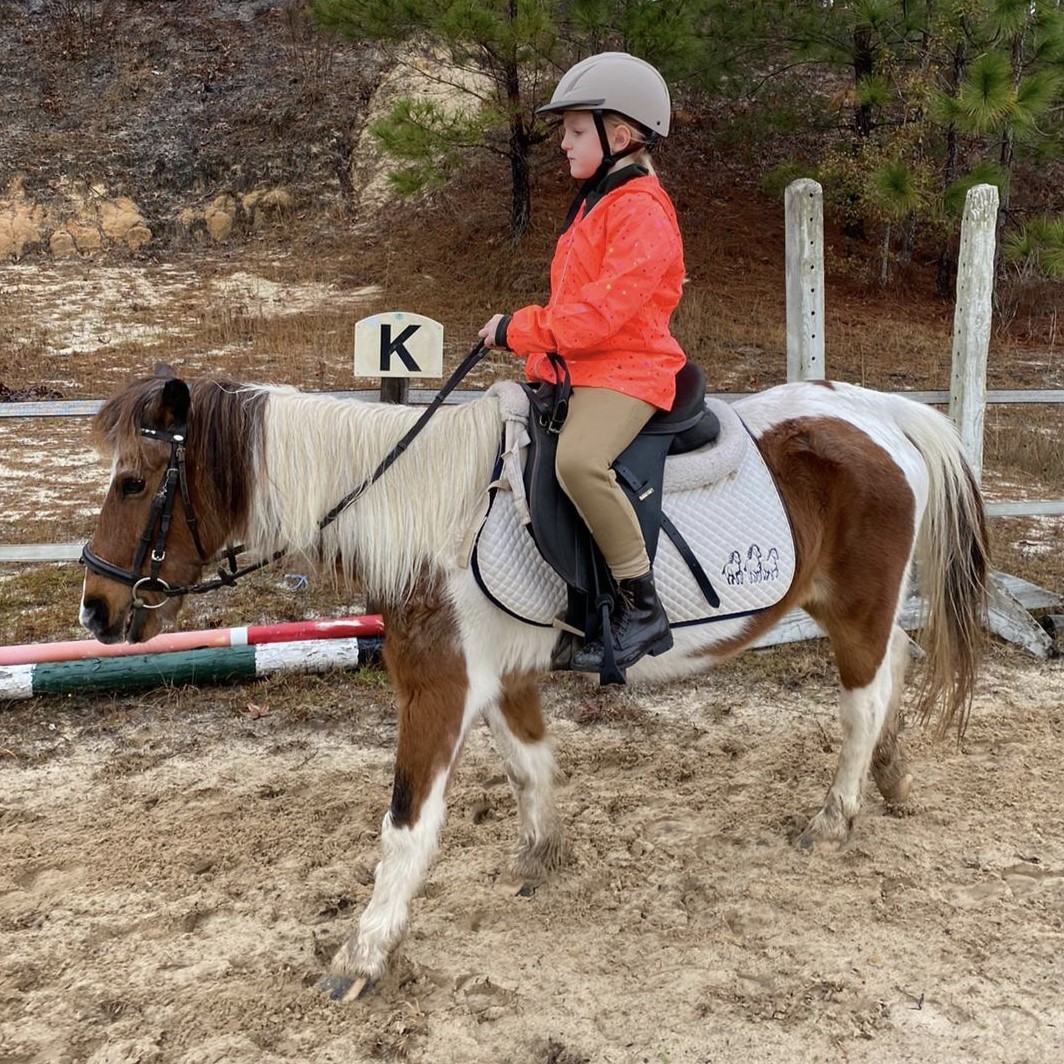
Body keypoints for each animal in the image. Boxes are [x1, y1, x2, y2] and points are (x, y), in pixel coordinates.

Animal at [78, 367, 990, 1000]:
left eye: (132, 482)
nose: (95, 609)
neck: (428, 511)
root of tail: (880, 412)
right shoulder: (500, 676)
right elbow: (530, 767)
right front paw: (543, 854)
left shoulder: (439, 686)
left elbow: (406, 826)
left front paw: (363, 952)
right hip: (846, 607)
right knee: (895, 666)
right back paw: (890, 776)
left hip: (857, 605)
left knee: (863, 699)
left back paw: (836, 815)